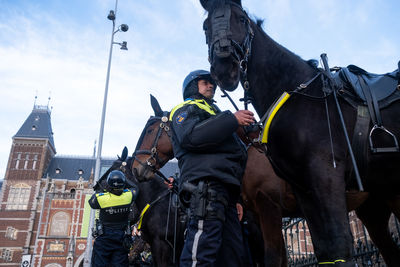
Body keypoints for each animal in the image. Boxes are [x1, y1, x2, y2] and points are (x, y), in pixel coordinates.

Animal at [200, 1, 400, 266]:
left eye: (242, 19)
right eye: (206, 26)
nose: (225, 68)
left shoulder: (321, 180)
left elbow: (337, 247)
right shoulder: (302, 190)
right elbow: (324, 249)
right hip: (376, 203)